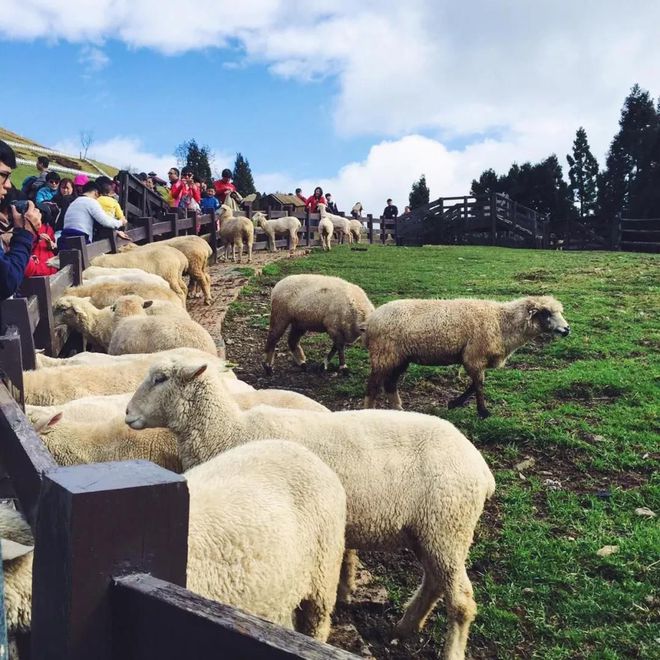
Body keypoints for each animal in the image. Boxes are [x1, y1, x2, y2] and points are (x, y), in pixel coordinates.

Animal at [125, 356, 496, 656]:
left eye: (160, 379)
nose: (127, 414)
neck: (228, 430)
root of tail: (481, 467)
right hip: (431, 530)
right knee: (434, 581)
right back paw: (404, 627)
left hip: (448, 523)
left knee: (460, 600)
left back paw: (449, 649)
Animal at [364, 296, 568, 418]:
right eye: (546, 313)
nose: (567, 329)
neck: (501, 322)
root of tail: (371, 320)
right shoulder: (474, 356)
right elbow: (479, 385)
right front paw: (483, 412)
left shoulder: (475, 358)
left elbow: (474, 385)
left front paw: (455, 403)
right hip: (384, 353)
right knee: (373, 385)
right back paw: (370, 410)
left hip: (399, 357)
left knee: (390, 384)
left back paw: (399, 410)